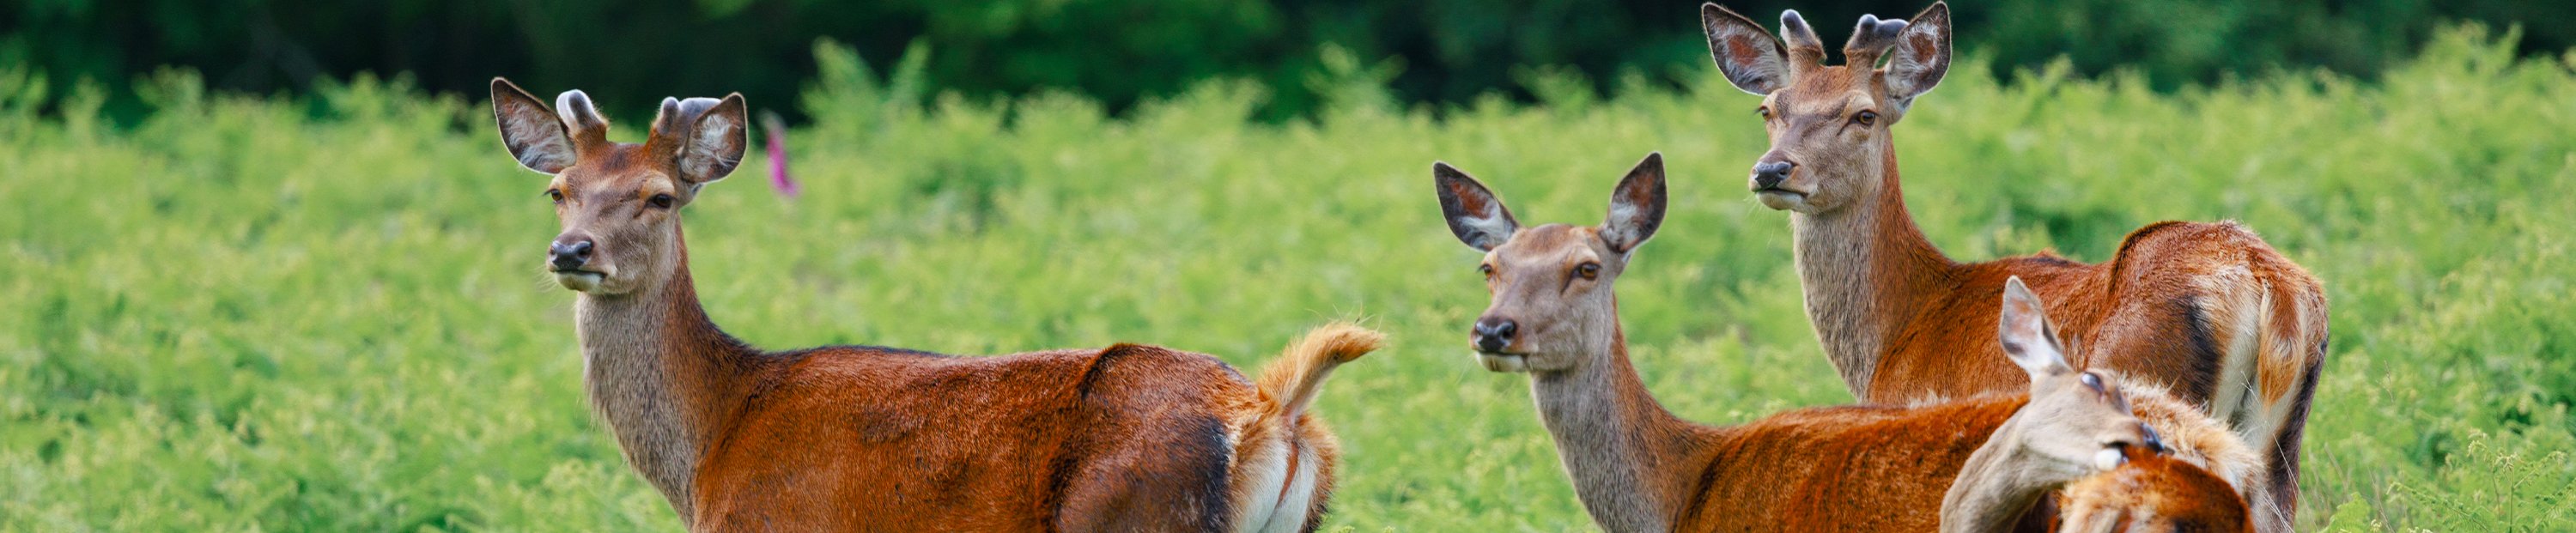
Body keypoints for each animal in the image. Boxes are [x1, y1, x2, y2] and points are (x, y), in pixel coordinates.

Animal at [489, 77, 1384, 532]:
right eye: (558, 191)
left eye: (659, 197)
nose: (572, 252)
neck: (711, 445)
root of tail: (1273, 412)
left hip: (1131, 514)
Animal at [1698, 2, 2329, 523]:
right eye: (1768, 109)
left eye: (1864, 115)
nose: (1773, 170)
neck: (1895, 333)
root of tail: (2268, 285)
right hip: (2279, 447)